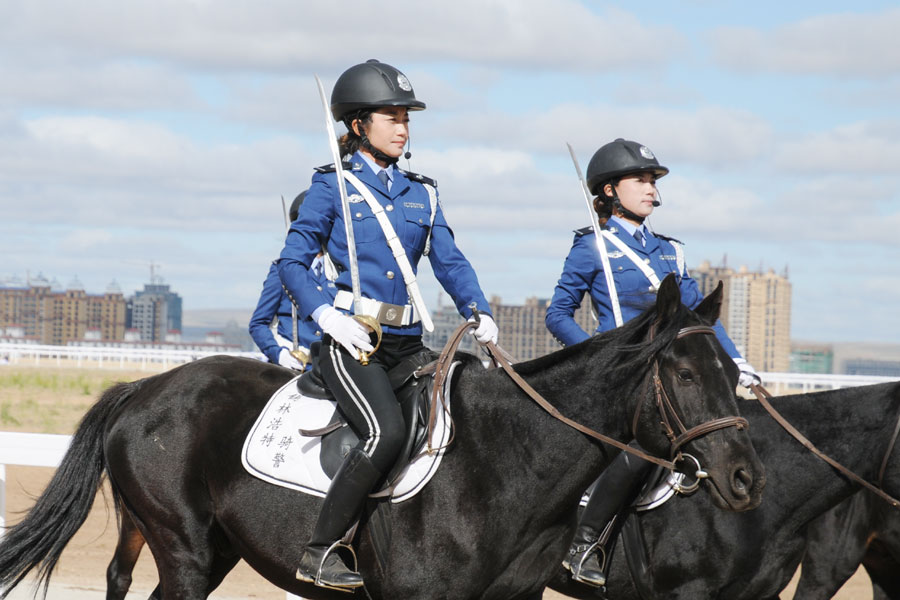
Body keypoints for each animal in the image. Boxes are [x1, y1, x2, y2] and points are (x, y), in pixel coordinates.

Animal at [0, 276, 768, 600]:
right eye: (683, 372)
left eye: (734, 371)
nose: (744, 478)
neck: (508, 462)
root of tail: (141, 389)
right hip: (185, 549)